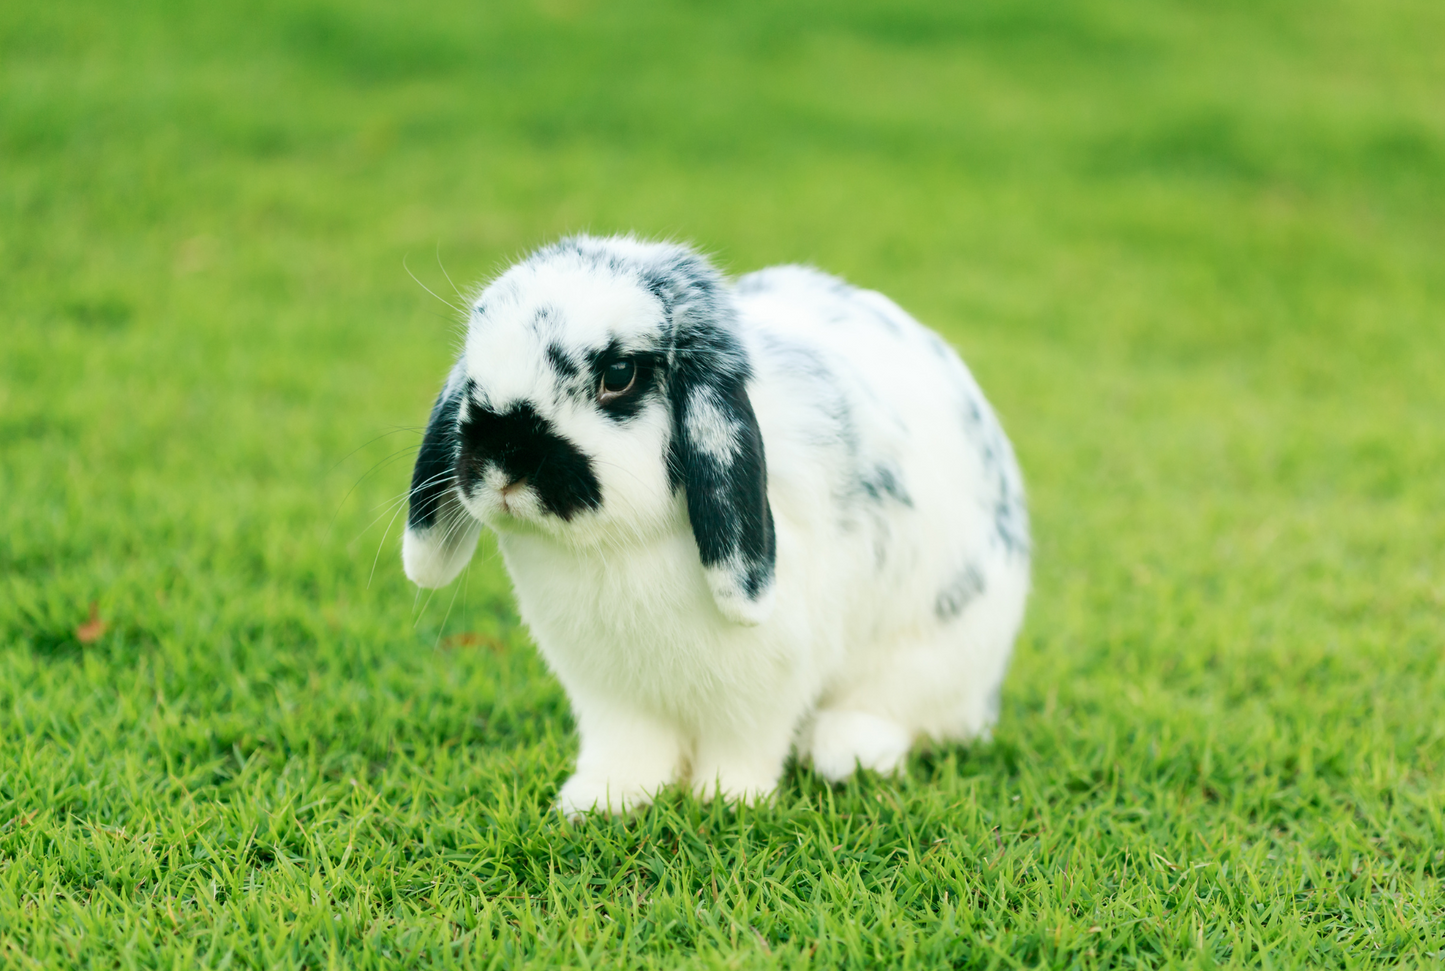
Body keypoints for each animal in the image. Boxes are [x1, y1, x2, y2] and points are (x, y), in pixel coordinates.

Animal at [398, 231, 1028, 814]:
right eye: (473, 375)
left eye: (618, 374)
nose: (502, 464)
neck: (617, 549)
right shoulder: (610, 692)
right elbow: (629, 748)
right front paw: (601, 800)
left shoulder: (764, 683)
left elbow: (744, 744)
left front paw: (727, 800)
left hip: (929, 653)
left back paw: (844, 752)